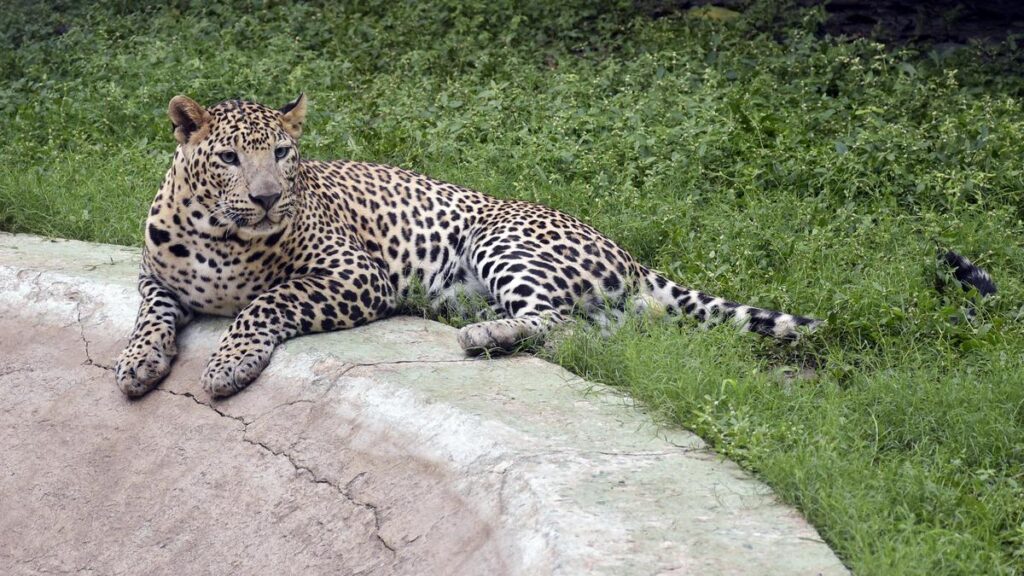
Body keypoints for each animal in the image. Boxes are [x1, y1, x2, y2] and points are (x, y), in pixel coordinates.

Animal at [115, 94, 821, 398]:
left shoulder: (355, 275)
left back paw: (485, 336)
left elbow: (265, 303)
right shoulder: (156, 279)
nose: (266, 199)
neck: (220, 233)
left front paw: (228, 364)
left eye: (283, 154)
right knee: (598, 334)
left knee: (560, 323)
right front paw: (137, 363)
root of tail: (627, 252)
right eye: (230, 158)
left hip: (499, 238)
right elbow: (150, 316)